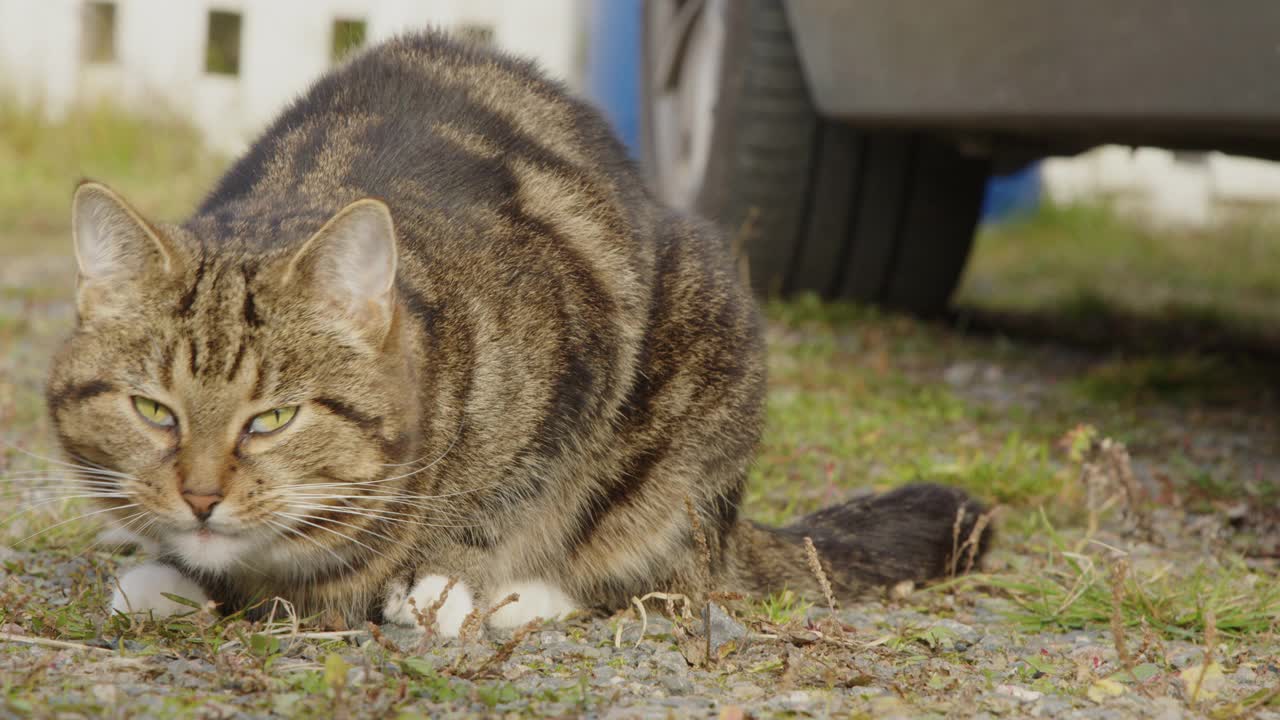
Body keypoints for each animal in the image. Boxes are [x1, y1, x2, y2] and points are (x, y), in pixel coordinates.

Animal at [47, 30, 988, 630]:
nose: (201, 497)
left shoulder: (575, 360)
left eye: (272, 418)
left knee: (670, 577)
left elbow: (502, 501)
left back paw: (529, 595)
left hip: (702, 363)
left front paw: (448, 587)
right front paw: (165, 572)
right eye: (153, 410)